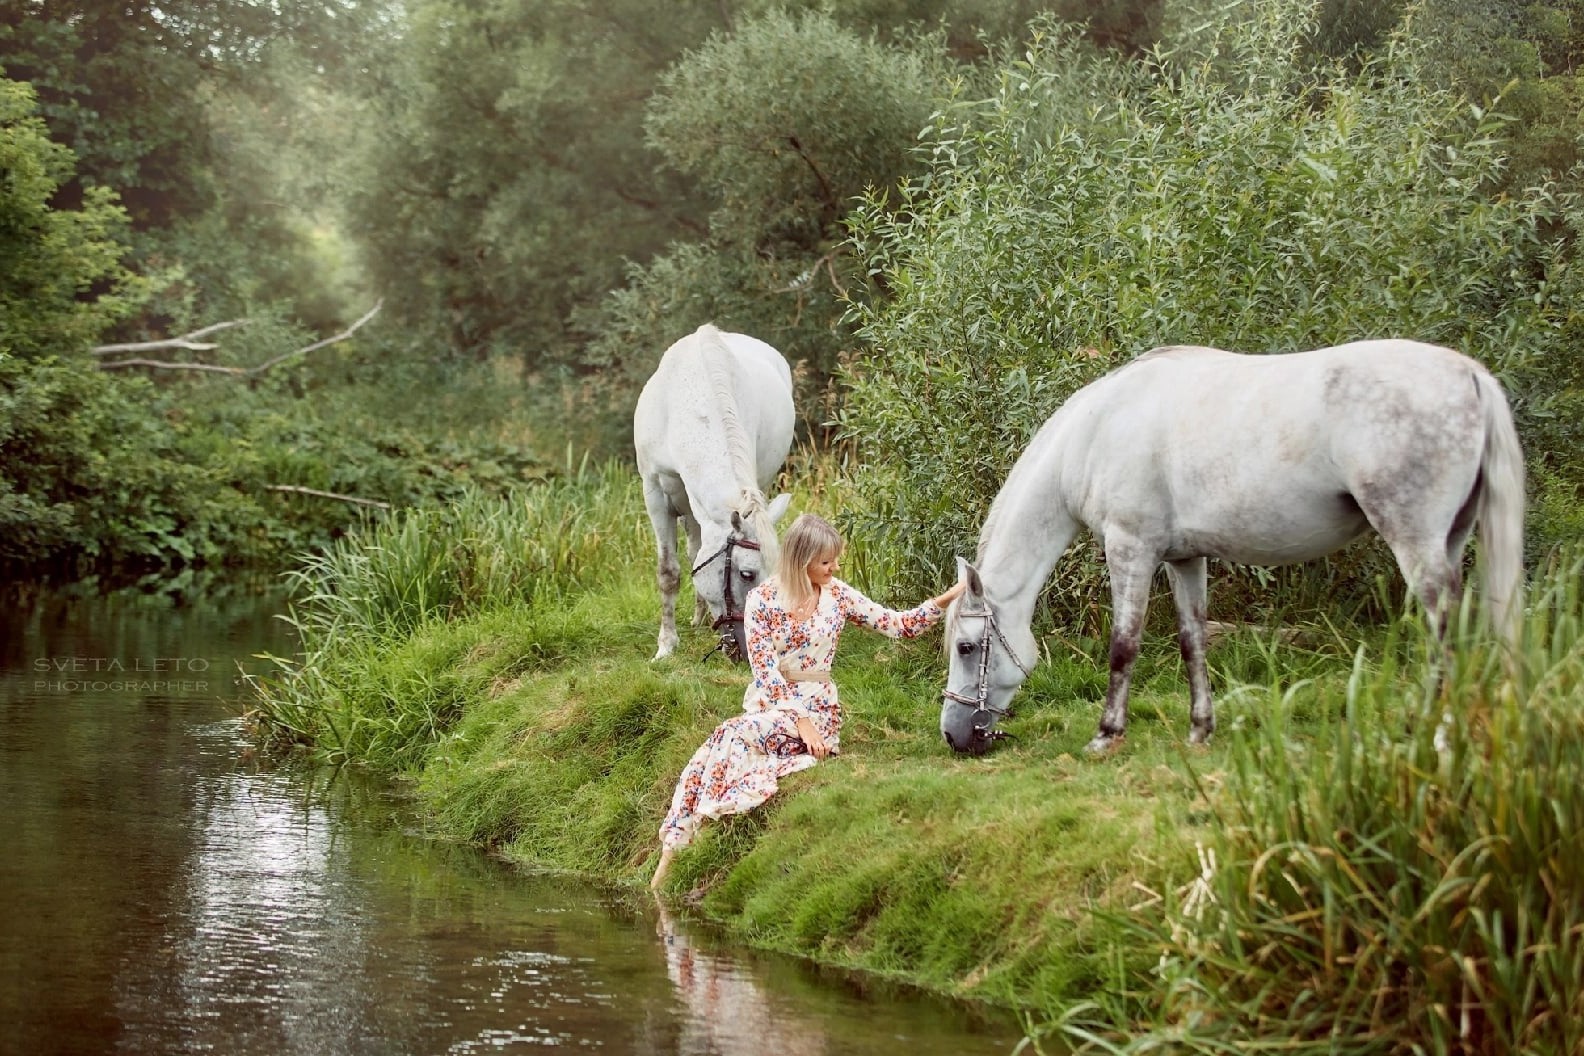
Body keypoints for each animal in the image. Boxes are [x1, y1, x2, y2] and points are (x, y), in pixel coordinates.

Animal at [937, 337, 1520, 750]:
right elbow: (1193, 640)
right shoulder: (1183, 559)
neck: (1097, 430)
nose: (952, 734)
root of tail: (1469, 374)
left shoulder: (1131, 550)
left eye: (966, 647)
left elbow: (1124, 646)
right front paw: (1200, 729)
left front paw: (1106, 734)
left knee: (1447, 628)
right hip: (1448, 540)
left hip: (1416, 543)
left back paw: (1441, 734)